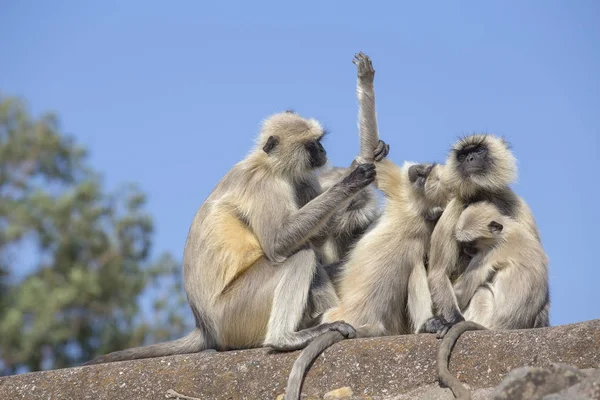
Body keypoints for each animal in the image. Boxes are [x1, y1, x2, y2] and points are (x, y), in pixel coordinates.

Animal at [84, 110, 378, 366]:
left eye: (319, 141)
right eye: (311, 145)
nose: (322, 152)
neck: (268, 165)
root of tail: (205, 327)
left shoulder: (296, 180)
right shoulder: (264, 184)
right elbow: (278, 244)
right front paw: (351, 180)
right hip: (236, 312)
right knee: (301, 257)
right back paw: (285, 339)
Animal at [282, 52, 450, 400]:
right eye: (426, 172)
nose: (420, 169)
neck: (418, 212)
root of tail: (367, 320)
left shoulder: (402, 194)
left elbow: (369, 149)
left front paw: (365, 78)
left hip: (333, 314)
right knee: (417, 267)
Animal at [436, 203, 548, 400]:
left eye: (471, 244)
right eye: (464, 244)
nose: (466, 250)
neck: (505, 233)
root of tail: (503, 327)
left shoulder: (487, 254)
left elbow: (462, 293)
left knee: (481, 290)